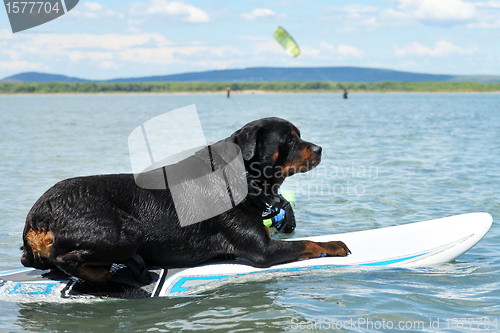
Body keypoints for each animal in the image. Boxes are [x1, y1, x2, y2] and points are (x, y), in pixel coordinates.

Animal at [21, 116, 350, 282]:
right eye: (290, 139)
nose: (319, 148)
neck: (244, 176)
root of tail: (37, 214)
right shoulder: (262, 250)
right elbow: (309, 243)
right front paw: (335, 244)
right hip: (126, 231)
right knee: (64, 259)